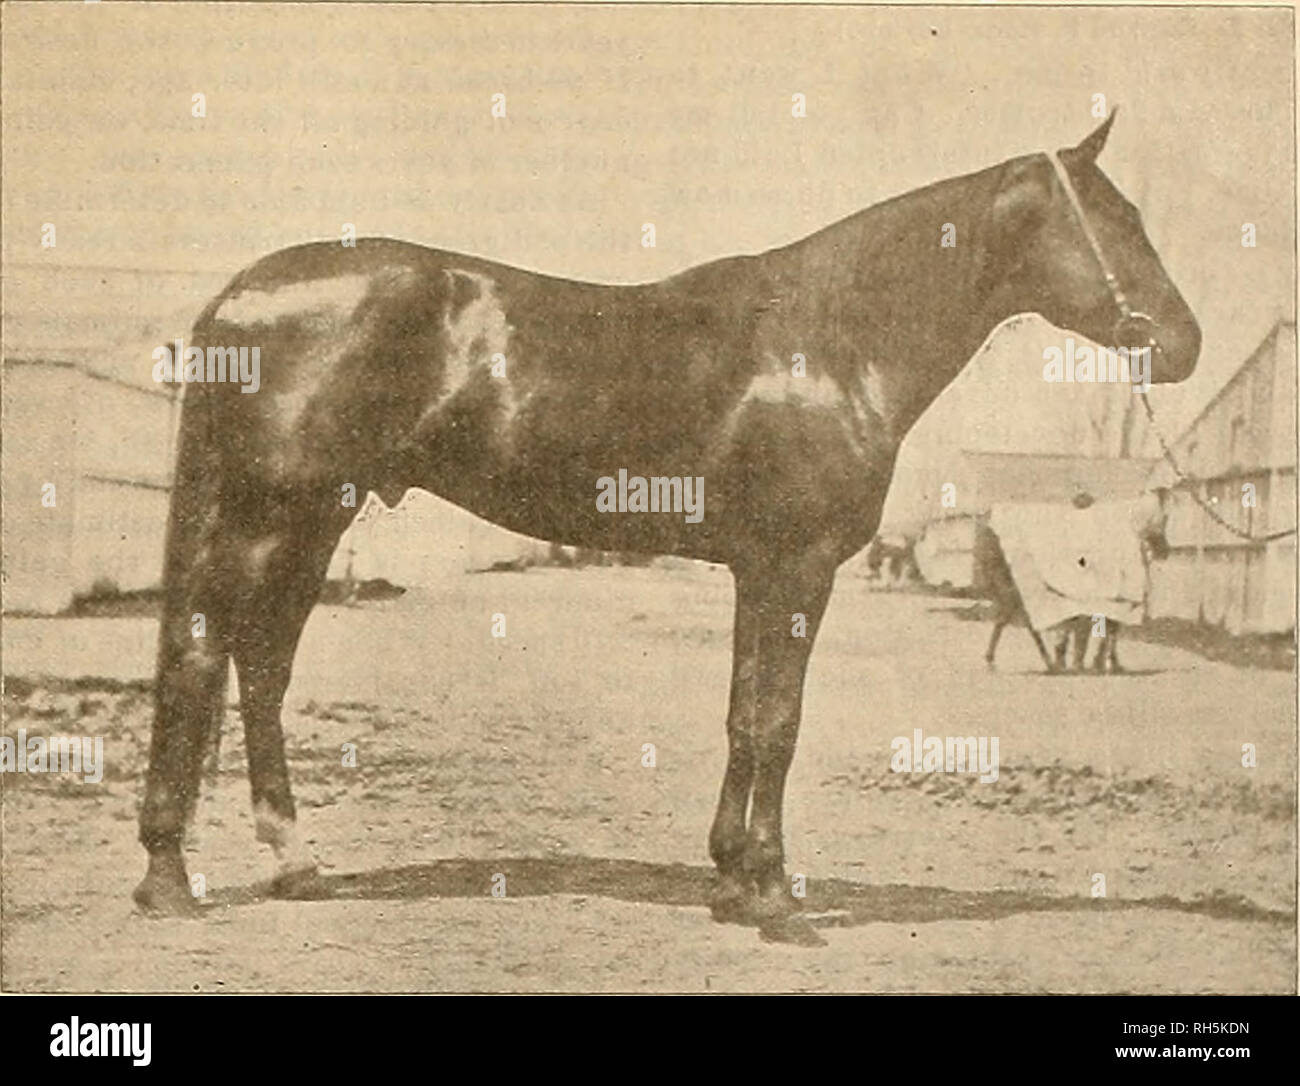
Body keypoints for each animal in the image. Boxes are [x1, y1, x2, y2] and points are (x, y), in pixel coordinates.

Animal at [134, 112, 1200, 945]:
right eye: (1117, 221)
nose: (1184, 343)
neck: (830, 338)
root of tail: (241, 293)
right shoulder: (796, 568)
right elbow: (777, 722)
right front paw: (772, 897)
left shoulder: (756, 570)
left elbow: (742, 715)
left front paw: (729, 878)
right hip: (269, 514)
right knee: (201, 654)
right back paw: (167, 880)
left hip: (318, 515)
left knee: (262, 664)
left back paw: (292, 861)